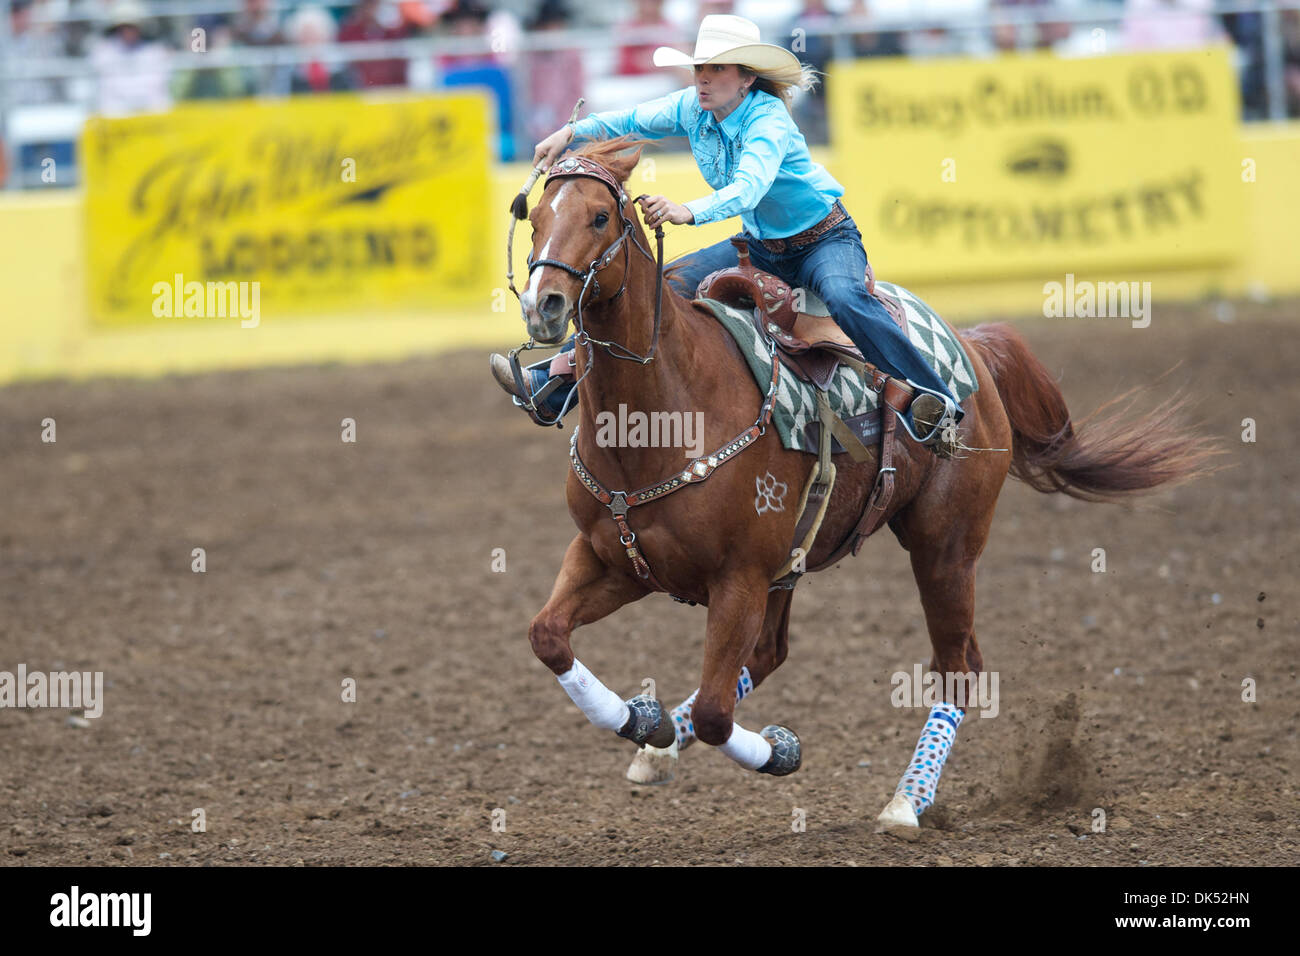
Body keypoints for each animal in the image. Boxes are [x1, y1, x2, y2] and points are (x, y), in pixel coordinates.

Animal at [512, 136, 1211, 832]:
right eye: (536, 217)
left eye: (600, 217)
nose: (544, 305)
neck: (665, 415)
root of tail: (971, 348)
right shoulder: (613, 557)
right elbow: (548, 637)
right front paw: (645, 721)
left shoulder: (738, 578)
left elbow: (715, 712)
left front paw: (778, 751)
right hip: (795, 561)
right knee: (769, 653)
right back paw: (661, 751)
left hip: (944, 548)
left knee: (957, 668)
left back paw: (907, 801)